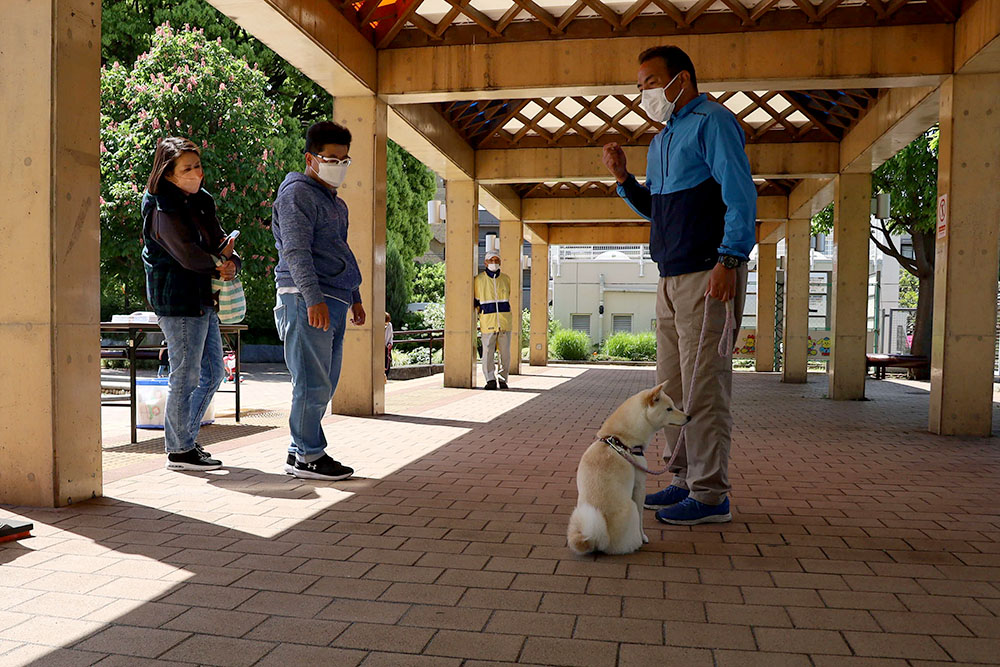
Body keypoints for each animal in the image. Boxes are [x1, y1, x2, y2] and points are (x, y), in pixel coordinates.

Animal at [572, 384, 688, 556]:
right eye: (669, 408)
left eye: (673, 406)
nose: (689, 417)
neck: (620, 440)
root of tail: (598, 539)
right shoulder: (639, 486)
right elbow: (641, 518)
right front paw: (643, 537)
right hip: (631, 507)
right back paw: (637, 543)